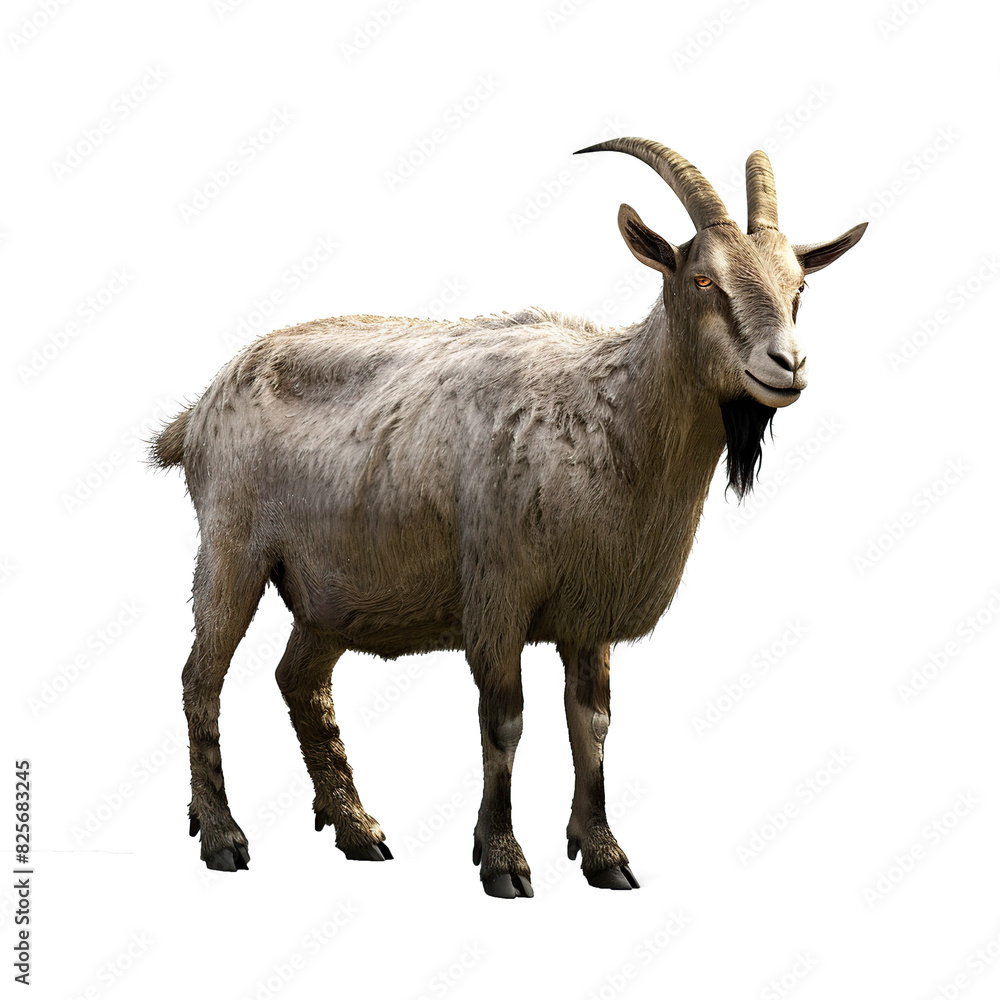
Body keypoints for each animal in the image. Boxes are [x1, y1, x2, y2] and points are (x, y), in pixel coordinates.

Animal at [152, 138, 866, 897]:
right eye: (703, 279)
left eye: (800, 285)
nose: (787, 364)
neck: (605, 417)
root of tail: (197, 411)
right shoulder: (497, 592)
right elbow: (504, 722)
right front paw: (503, 860)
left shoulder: (587, 610)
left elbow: (592, 725)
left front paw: (604, 854)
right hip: (232, 548)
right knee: (202, 679)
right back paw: (222, 836)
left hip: (329, 593)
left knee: (301, 682)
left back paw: (357, 830)